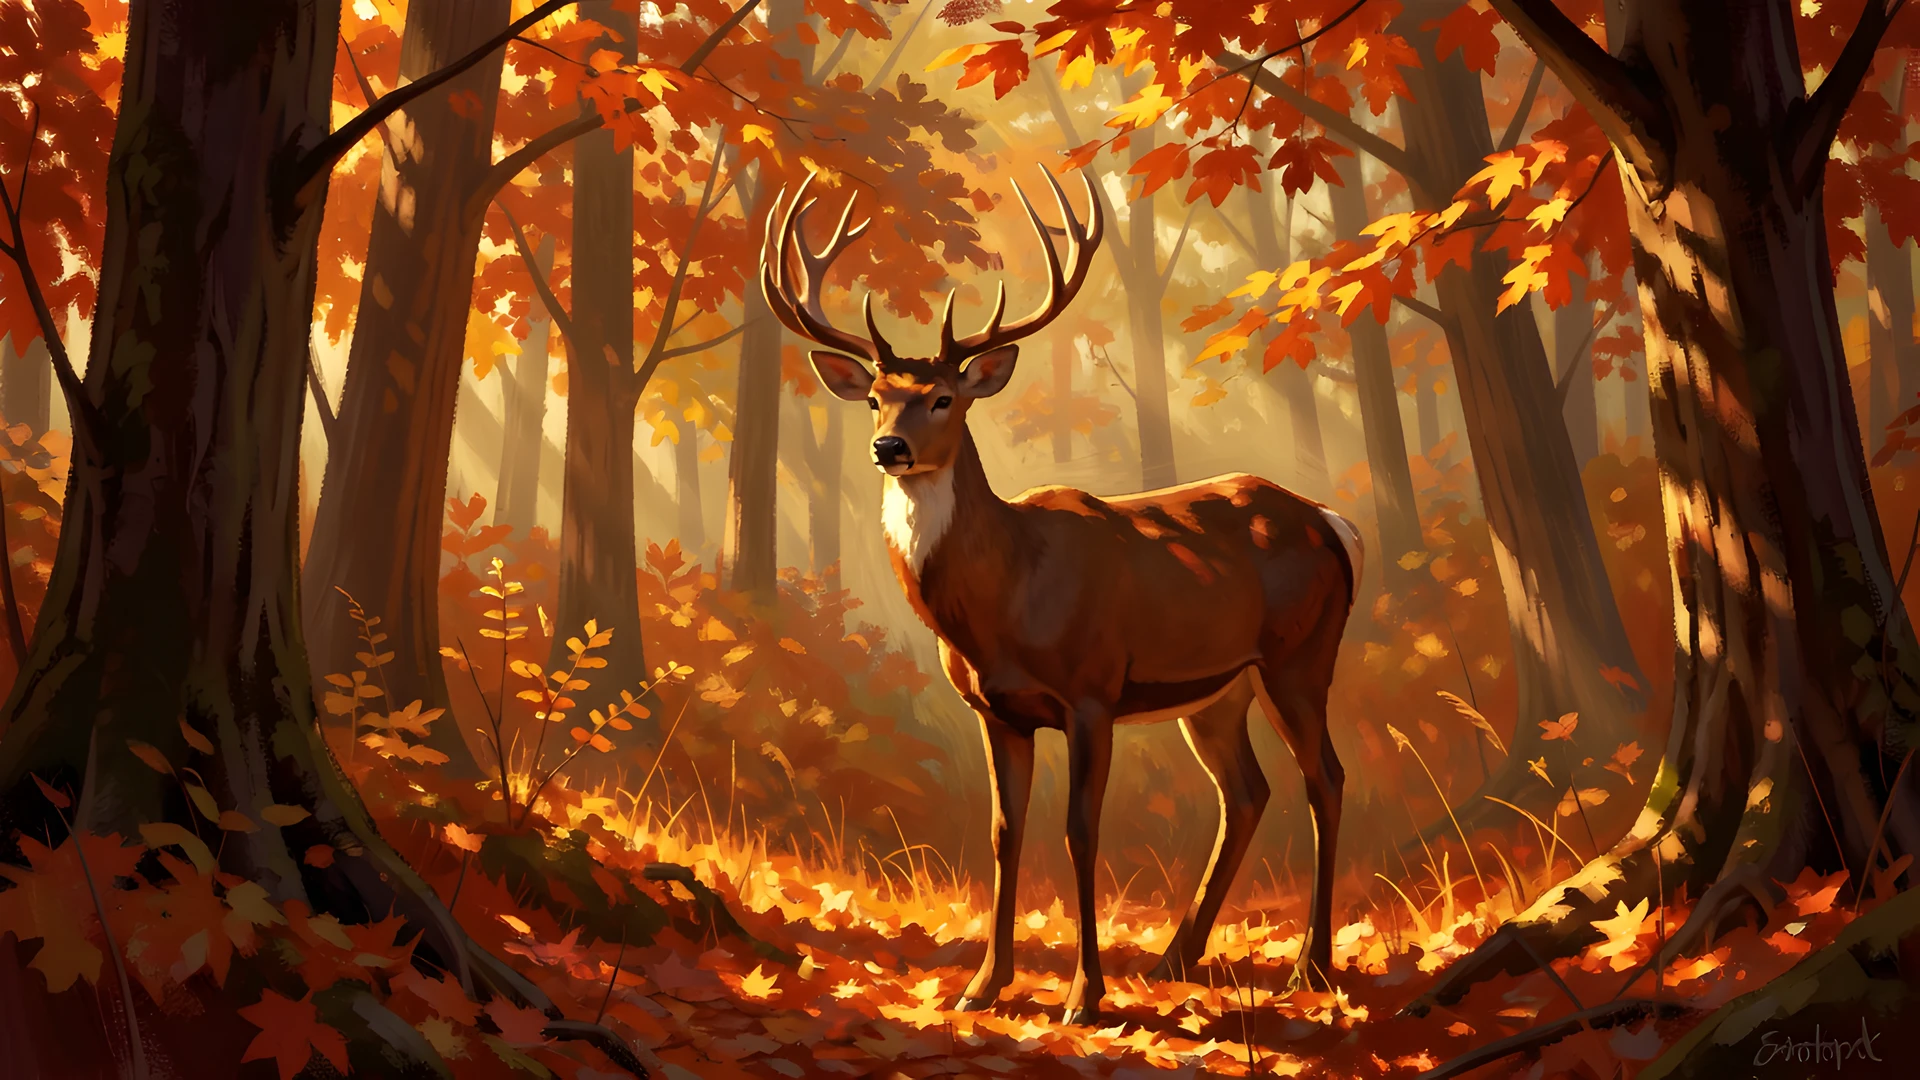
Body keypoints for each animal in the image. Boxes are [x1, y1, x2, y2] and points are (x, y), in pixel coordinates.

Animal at [760, 168, 1360, 1025]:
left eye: (943, 399)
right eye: (875, 398)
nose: (889, 447)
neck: (1004, 598)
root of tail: (1332, 523)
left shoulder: (1092, 690)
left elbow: (1081, 830)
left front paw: (1084, 994)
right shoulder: (996, 710)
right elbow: (1003, 833)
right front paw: (983, 985)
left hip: (1300, 656)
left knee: (1326, 780)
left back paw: (1310, 965)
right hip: (1218, 692)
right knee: (1247, 792)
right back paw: (1177, 957)